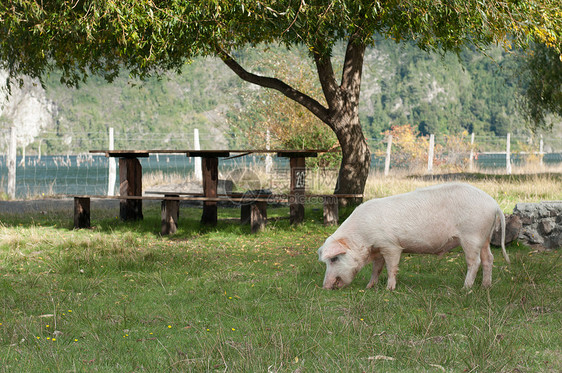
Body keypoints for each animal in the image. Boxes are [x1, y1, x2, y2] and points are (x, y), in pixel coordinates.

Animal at [316, 182, 508, 290]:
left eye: (334, 259)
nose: (325, 287)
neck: (362, 237)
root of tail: (494, 204)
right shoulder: (379, 248)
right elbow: (376, 268)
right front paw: (369, 286)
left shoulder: (391, 245)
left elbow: (391, 267)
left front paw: (389, 289)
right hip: (485, 237)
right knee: (489, 259)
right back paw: (485, 287)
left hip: (471, 235)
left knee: (474, 262)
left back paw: (465, 288)